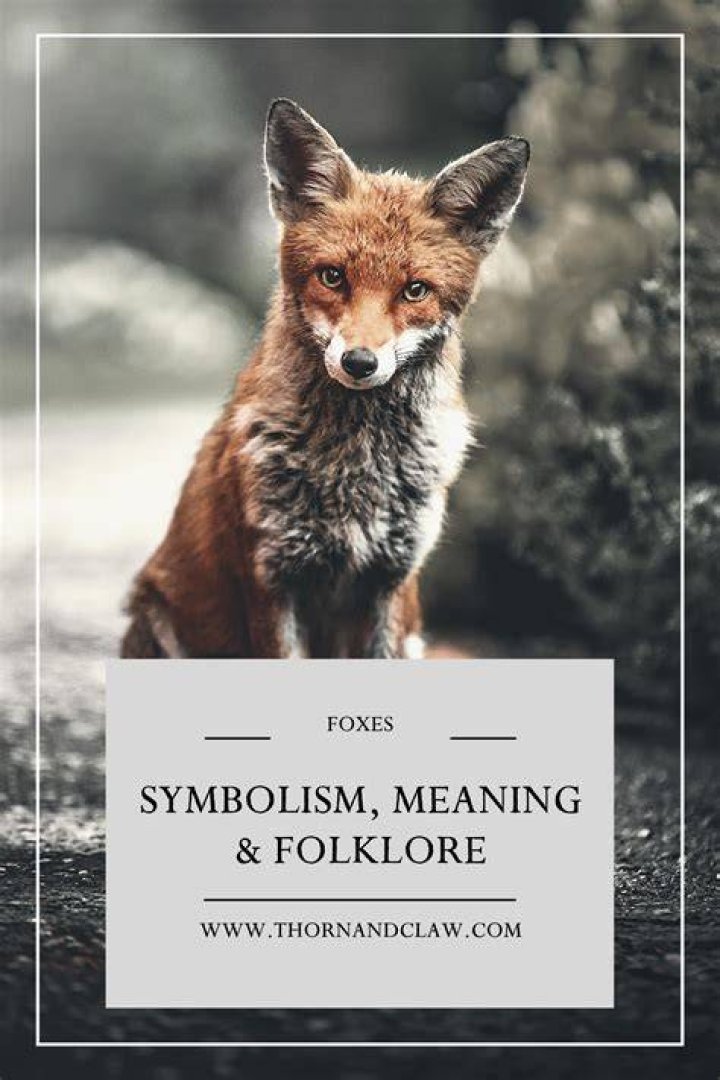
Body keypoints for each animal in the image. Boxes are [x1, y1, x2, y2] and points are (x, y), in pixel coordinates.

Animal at [121, 99, 529, 660]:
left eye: (415, 290)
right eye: (332, 277)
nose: (360, 362)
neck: (357, 466)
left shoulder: (393, 577)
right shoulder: (271, 576)